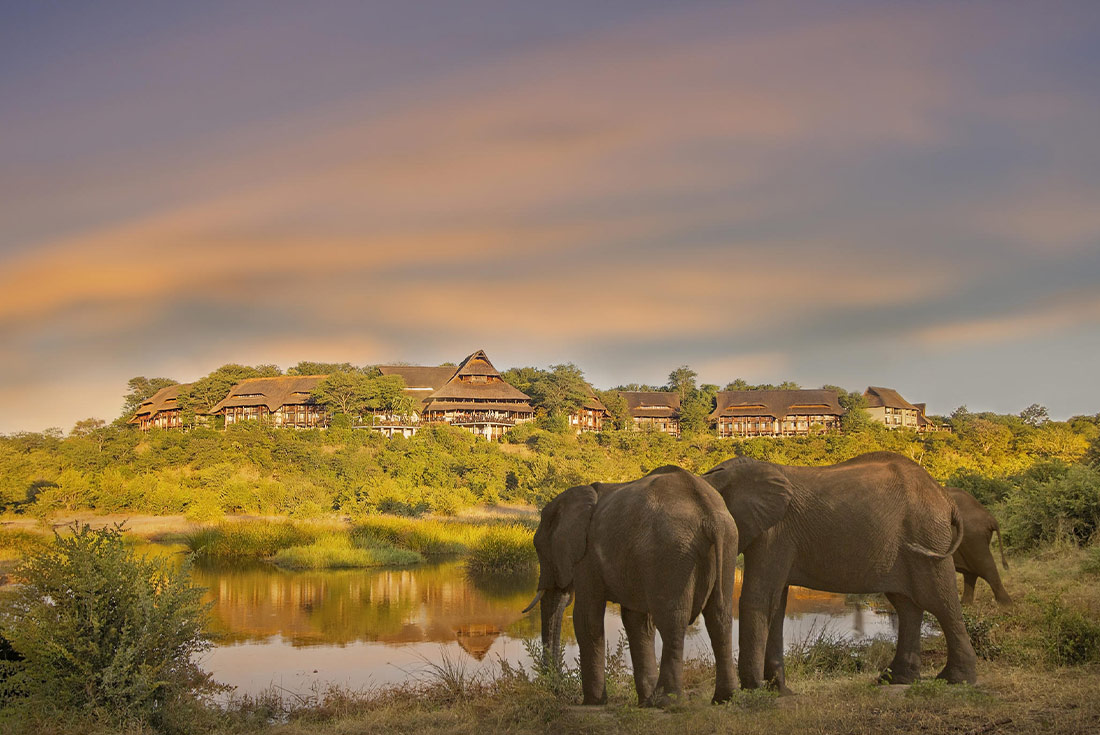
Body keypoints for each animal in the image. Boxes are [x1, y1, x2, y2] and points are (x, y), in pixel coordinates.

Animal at [523, 465, 739, 707]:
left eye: (538, 547)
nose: (556, 688)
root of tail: (709, 515)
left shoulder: (587, 558)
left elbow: (587, 618)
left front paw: (593, 702)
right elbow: (637, 622)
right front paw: (643, 702)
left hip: (672, 551)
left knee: (672, 621)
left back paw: (666, 701)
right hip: (727, 543)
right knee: (719, 617)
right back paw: (724, 698)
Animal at [701, 451, 977, 691]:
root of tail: (946, 498)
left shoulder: (775, 533)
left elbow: (757, 599)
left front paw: (755, 689)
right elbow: (776, 603)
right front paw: (779, 691)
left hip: (928, 536)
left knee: (940, 601)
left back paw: (957, 679)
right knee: (907, 606)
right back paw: (896, 679)